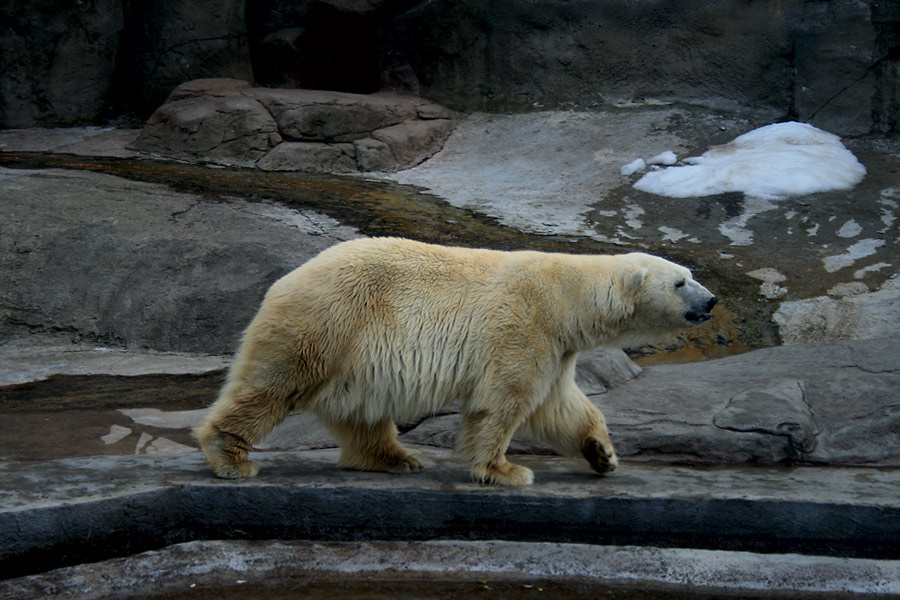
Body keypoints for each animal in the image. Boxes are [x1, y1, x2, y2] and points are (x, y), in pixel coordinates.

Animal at [194, 237, 716, 486]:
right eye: (680, 281)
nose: (711, 300)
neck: (567, 293)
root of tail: (285, 280)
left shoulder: (557, 346)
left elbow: (559, 406)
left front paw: (602, 454)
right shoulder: (524, 325)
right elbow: (503, 401)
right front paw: (505, 471)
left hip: (353, 352)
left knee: (362, 410)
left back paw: (397, 457)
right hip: (331, 321)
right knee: (273, 384)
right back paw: (231, 457)